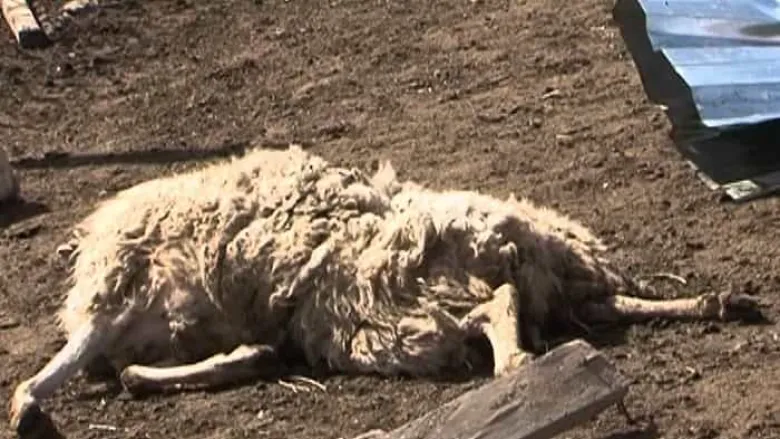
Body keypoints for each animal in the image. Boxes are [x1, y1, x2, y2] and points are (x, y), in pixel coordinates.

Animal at [9, 145, 762, 436]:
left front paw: (28, 407)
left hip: (382, 312)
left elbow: (57, 371)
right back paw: (719, 302)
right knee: (592, 304)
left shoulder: (117, 297)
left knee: (497, 307)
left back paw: (517, 368)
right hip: (442, 299)